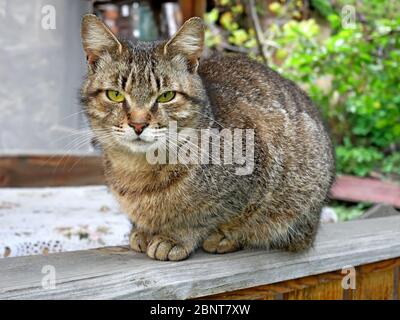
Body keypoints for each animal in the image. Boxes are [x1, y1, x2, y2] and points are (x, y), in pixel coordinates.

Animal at [79, 14, 334, 260]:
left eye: (166, 96)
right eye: (115, 95)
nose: (138, 124)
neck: (137, 171)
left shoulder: (260, 164)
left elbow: (203, 217)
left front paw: (175, 237)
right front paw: (141, 230)